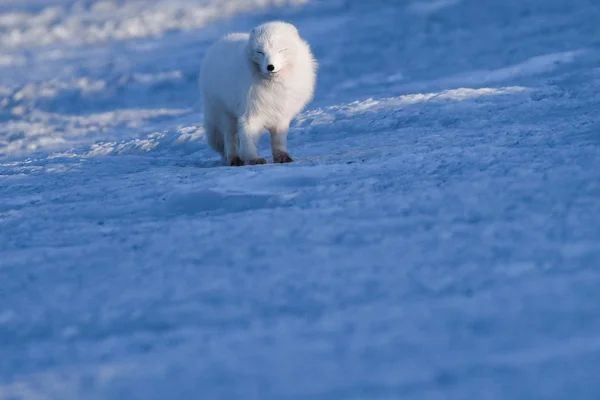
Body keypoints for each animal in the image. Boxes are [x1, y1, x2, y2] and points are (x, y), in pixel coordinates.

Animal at [198, 21, 318, 166]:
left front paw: (282, 156)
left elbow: (278, 140)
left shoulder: (281, 115)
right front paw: (253, 158)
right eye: (261, 52)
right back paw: (234, 159)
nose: (270, 67)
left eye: (281, 50)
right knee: (230, 139)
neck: (274, 87)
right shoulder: (250, 111)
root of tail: (216, 45)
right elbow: (248, 134)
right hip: (224, 114)